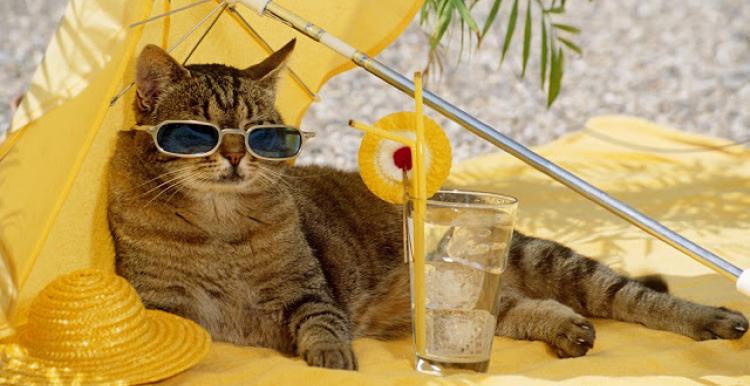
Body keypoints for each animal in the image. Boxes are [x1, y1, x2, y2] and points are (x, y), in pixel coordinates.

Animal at [108, 40, 748, 370]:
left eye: (260, 131)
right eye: (202, 130)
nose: (239, 155)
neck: (219, 224)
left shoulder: (310, 293)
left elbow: (323, 326)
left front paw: (332, 357)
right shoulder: (166, 307)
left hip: (549, 260)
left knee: (633, 297)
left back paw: (711, 319)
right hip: (466, 297)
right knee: (509, 312)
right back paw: (566, 329)